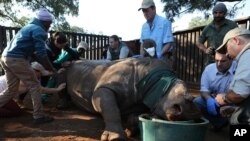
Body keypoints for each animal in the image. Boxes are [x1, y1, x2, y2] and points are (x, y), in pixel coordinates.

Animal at [57, 57, 201, 141]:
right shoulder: (104, 88)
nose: (190, 113)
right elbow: (111, 109)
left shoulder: (142, 101)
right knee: (61, 72)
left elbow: (135, 116)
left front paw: (131, 130)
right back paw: (62, 105)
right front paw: (115, 138)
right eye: (164, 90)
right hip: (69, 67)